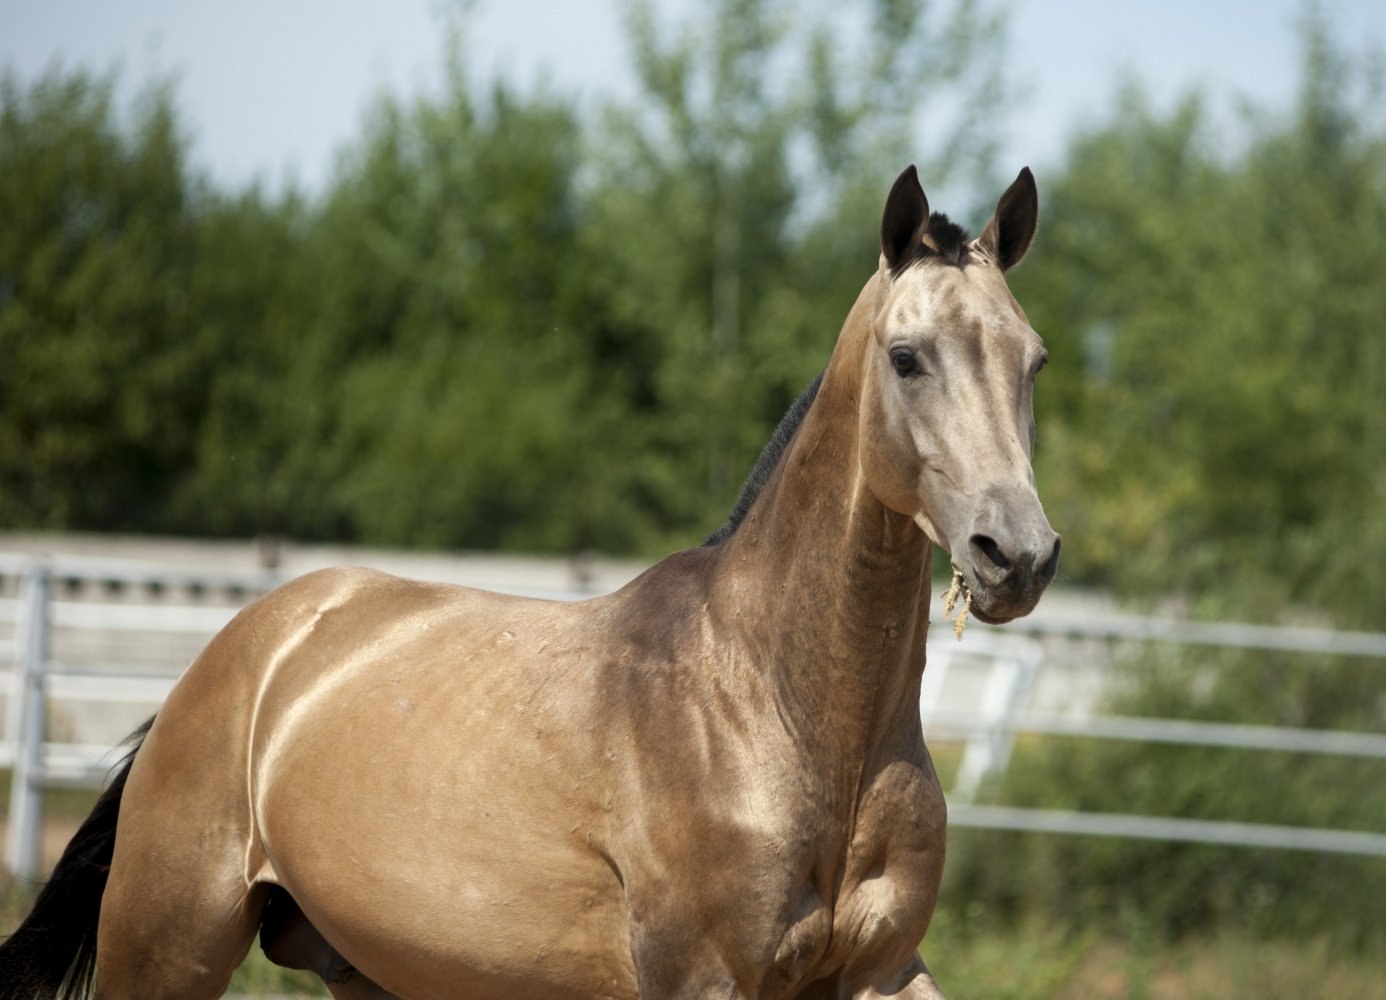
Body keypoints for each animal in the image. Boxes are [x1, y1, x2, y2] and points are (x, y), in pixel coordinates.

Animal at [2, 163, 1058, 997]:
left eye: (1034, 361)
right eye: (906, 358)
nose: (1018, 556)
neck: (776, 709)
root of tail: (238, 656)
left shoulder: (882, 970)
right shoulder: (703, 980)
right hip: (167, 951)